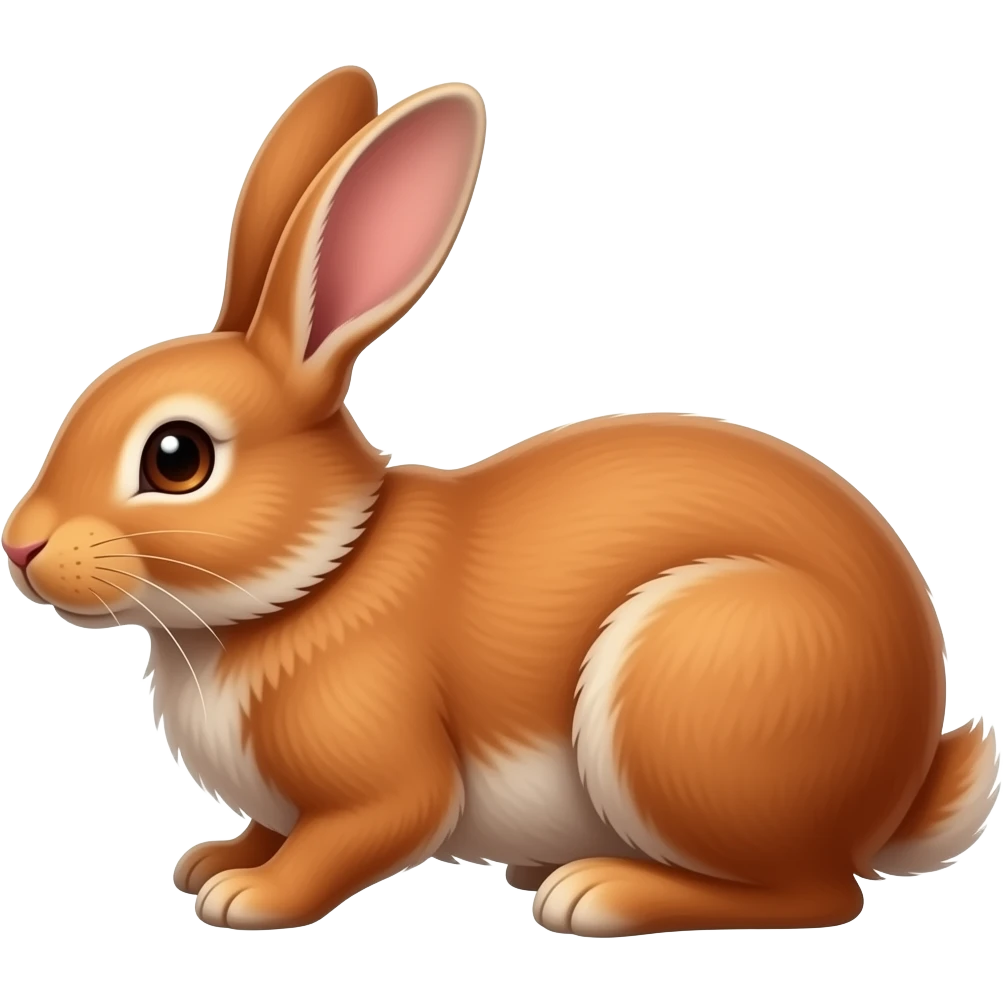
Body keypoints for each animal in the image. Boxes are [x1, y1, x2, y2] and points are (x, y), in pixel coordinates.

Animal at [2, 64, 999, 938]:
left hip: (694, 687)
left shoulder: (389, 780)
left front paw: (251, 897)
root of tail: (899, 786)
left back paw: (599, 892)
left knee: (817, 892)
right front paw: (213, 859)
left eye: (177, 457)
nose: (22, 546)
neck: (322, 572)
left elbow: (356, 834)